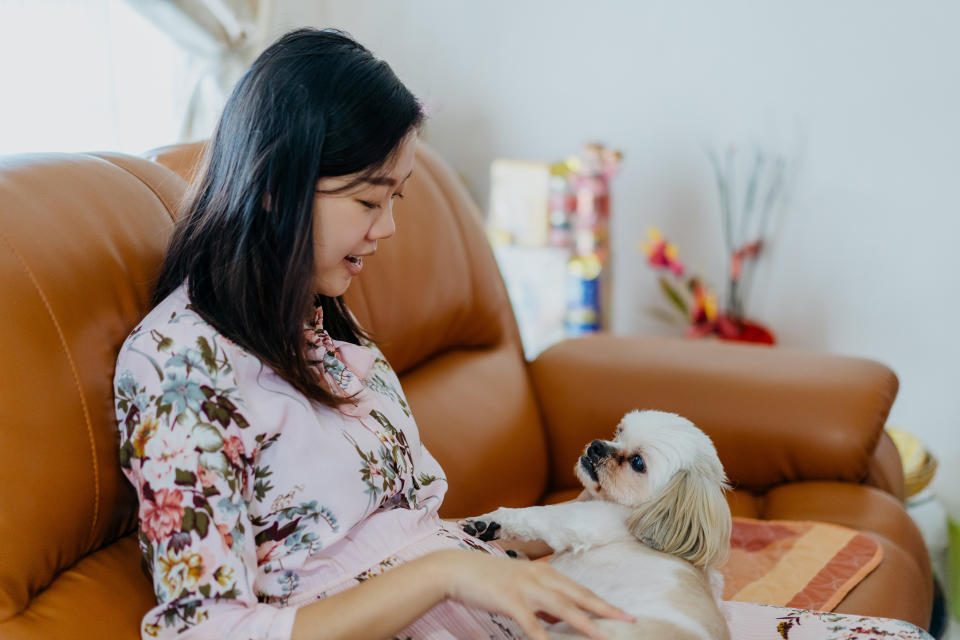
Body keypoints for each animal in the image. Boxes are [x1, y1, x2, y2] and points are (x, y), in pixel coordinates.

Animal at [462, 410, 732, 640]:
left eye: (638, 462)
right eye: (619, 432)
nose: (597, 446)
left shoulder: (585, 519)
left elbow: (535, 516)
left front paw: (488, 522)